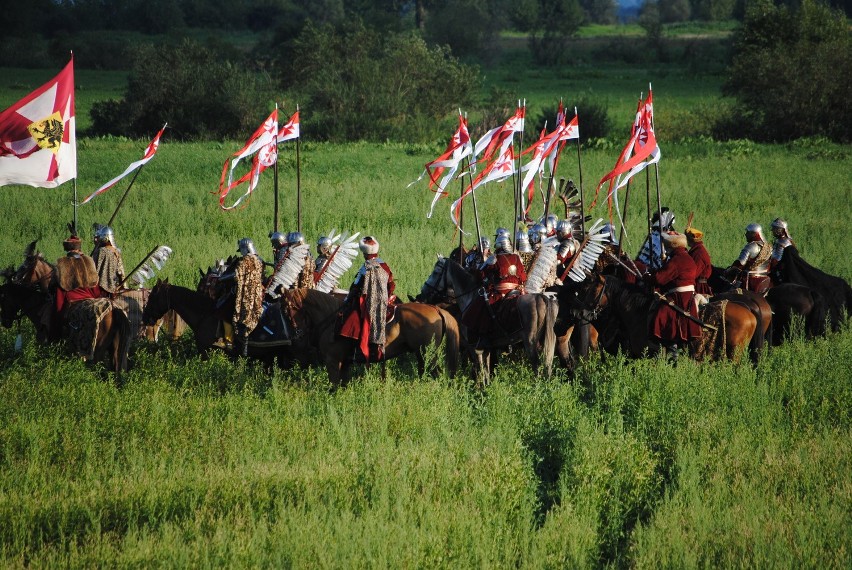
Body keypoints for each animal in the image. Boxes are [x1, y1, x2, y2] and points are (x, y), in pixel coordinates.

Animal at [0, 278, 131, 372]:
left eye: (2, 301)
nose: (5, 322)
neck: (39, 307)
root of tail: (114, 309)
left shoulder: (44, 341)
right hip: (114, 350)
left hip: (98, 352)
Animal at [282, 286, 460, 384]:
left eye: (286, 309)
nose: (296, 335)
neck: (332, 320)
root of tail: (435, 308)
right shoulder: (345, 363)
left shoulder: (332, 361)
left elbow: (334, 387)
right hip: (421, 354)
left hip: (427, 354)